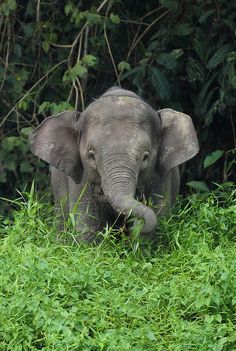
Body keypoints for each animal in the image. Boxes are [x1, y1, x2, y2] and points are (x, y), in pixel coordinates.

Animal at [29, 86, 199, 243]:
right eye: (91, 156)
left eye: (146, 157)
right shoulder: (81, 180)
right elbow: (88, 228)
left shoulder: (161, 177)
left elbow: (155, 229)